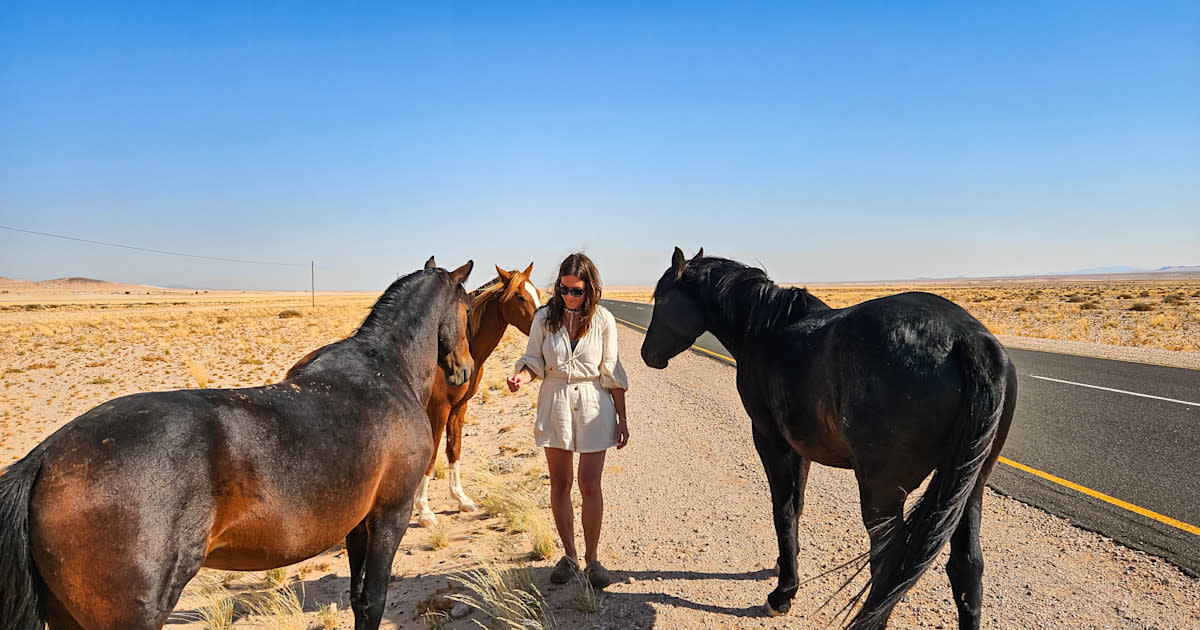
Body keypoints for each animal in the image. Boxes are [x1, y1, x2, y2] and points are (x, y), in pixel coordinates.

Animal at [1, 256, 477, 628]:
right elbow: (373, 602)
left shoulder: (358, 525)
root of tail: (44, 459)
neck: (385, 368)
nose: (465, 370)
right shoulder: (388, 517)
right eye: (467, 306)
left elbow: (359, 601)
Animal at [415, 260, 542, 525]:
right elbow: (432, 454)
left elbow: (454, 449)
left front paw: (461, 499)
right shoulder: (439, 409)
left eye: (537, 293)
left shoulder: (458, 407)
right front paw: (424, 510)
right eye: (520, 297)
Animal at [643, 247, 1017, 628]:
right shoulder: (800, 448)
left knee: (888, 568)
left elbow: (783, 510)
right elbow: (797, 505)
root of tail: (966, 339)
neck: (767, 330)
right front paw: (785, 564)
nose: (648, 355)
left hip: (882, 492)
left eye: (661, 298)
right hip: (968, 487)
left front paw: (783, 593)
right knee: (966, 567)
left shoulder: (770, 441)